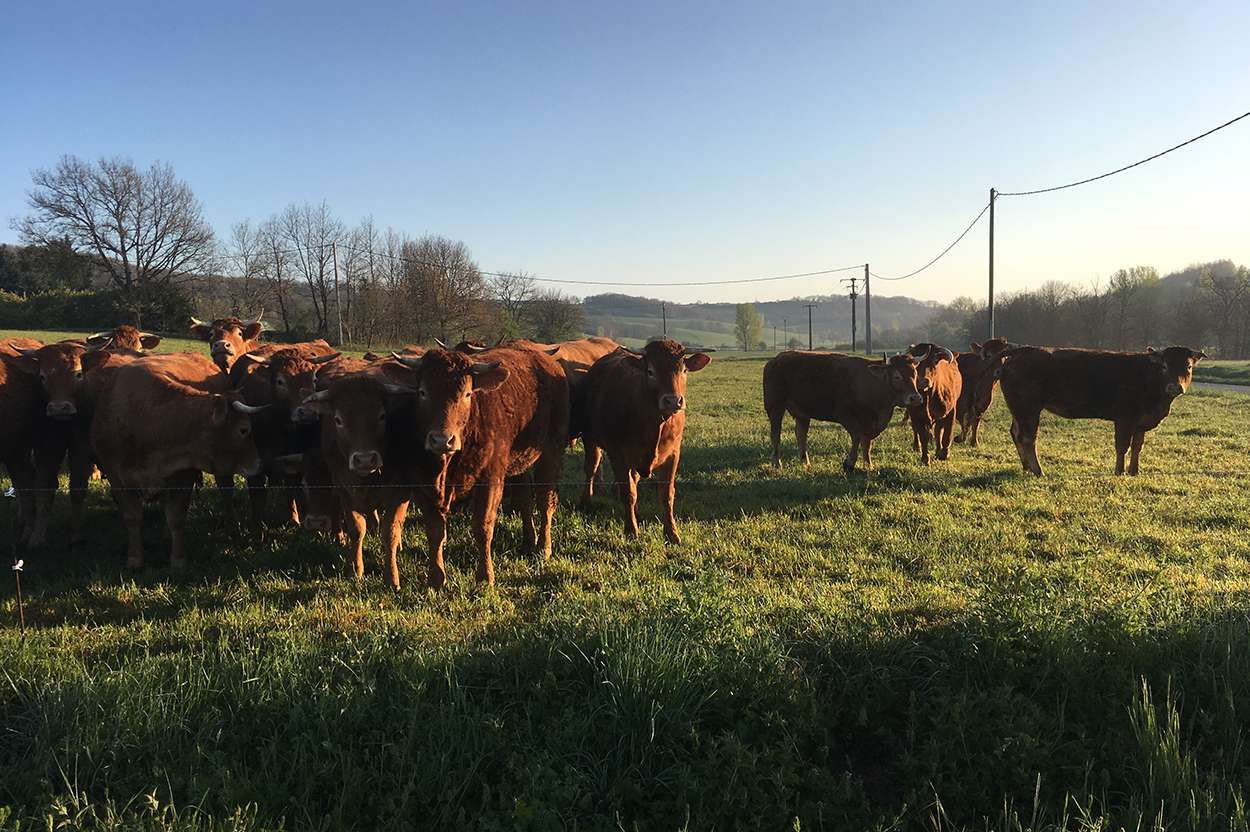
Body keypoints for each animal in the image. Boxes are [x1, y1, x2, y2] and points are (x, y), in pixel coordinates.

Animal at [91, 352, 268, 567]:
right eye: (244, 430)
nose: (260, 464)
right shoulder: (117, 478)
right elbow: (132, 518)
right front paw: (135, 558)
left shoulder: (182, 476)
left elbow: (176, 518)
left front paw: (178, 559)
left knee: (226, 493)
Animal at [390, 347, 572, 587]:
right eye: (422, 392)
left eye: (467, 394)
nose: (442, 440)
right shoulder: (423, 483)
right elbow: (435, 531)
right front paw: (436, 578)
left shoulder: (491, 479)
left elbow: (482, 527)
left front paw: (485, 576)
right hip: (518, 465)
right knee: (524, 499)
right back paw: (528, 542)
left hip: (552, 449)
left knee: (545, 500)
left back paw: (544, 547)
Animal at [577, 339, 710, 542]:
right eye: (650, 371)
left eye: (684, 370)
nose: (673, 401)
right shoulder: (617, 455)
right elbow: (627, 493)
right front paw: (631, 530)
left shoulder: (673, 455)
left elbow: (666, 495)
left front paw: (672, 533)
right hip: (591, 439)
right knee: (591, 468)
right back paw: (586, 501)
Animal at [985, 342, 1200, 472]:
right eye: (1164, 366)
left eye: (1188, 366)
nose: (1175, 387)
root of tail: (1024, 350)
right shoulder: (1124, 418)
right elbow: (1122, 446)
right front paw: (1119, 471)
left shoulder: (1141, 423)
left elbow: (1137, 446)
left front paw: (1134, 471)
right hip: (1028, 409)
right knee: (1028, 438)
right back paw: (1038, 470)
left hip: (1019, 410)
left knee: (1016, 433)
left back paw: (1027, 467)